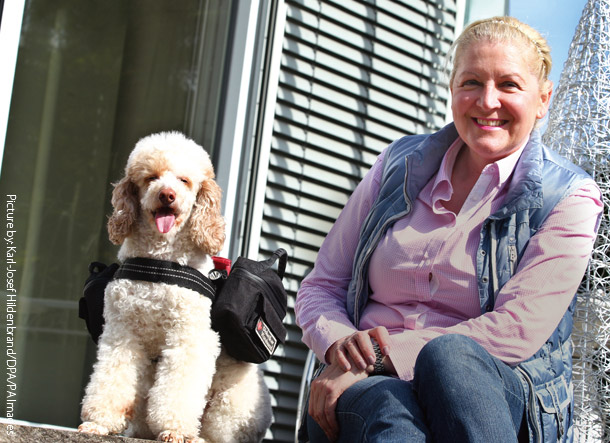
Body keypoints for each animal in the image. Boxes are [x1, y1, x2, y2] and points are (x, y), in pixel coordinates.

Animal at [78, 133, 270, 443]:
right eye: (151, 178)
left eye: (184, 181)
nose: (167, 194)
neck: (160, 262)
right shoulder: (122, 333)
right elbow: (111, 379)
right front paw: (99, 422)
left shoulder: (188, 337)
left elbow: (178, 389)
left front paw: (175, 429)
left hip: (231, 403)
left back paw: (198, 436)